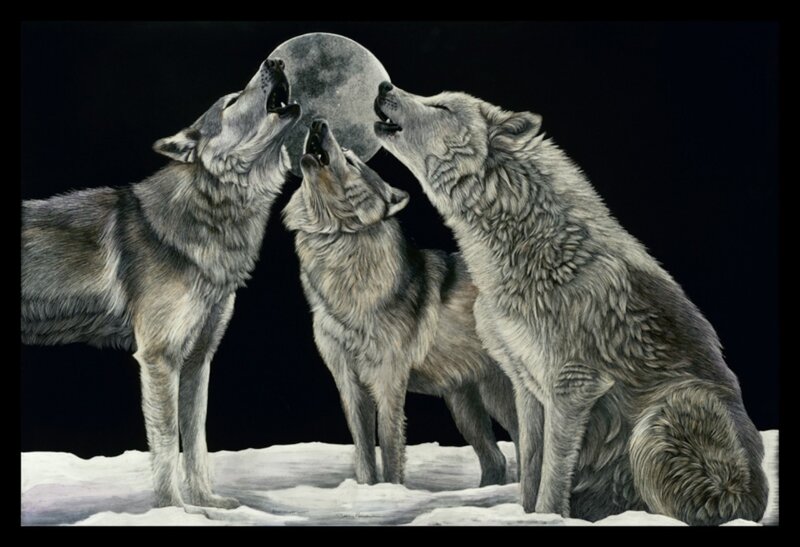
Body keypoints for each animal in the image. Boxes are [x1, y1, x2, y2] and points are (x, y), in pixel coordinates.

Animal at [21, 59, 300, 509]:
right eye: (231, 101)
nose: (274, 61)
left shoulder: (197, 361)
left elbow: (198, 441)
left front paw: (207, 503)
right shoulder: (158, 358)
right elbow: (168, 443)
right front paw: (174, 508)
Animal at [283, 120, 518, 486]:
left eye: (351, 160)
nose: (319, 122)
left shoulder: (389, 382)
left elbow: (390, 447)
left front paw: (392, 490)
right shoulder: (350, 385)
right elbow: (364, 453)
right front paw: (367, 491)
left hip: (500, 397)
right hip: (463, 404)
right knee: (496, 459)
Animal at [373, 81, 769, 525]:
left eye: (440, 106)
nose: (384, 85)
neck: (534, 248)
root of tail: (753, 498)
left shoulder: (574, 386)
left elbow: (553, 471)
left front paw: (550, 516)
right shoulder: (526, 383)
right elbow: (531, 464)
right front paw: (525, 514)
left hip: (665, 415)